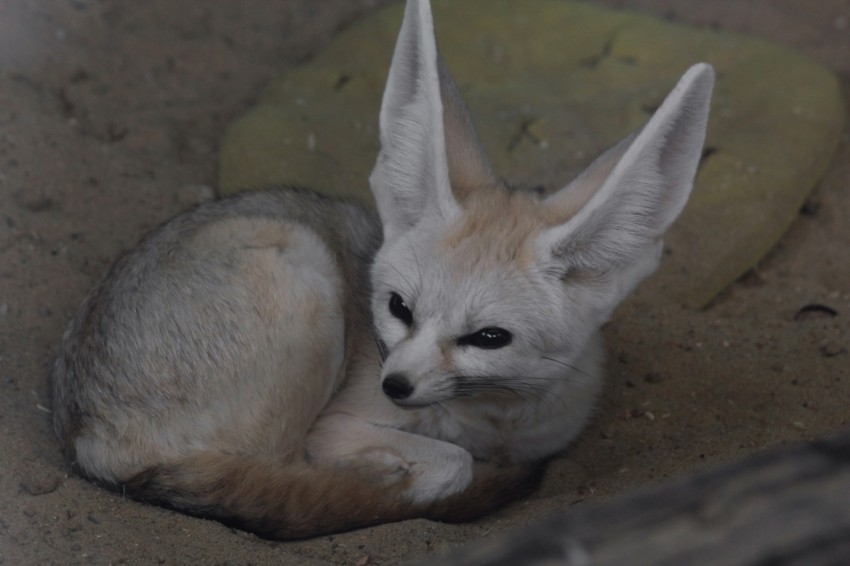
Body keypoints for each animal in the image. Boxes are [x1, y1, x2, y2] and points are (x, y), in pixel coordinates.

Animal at [49, 0, 712, 540]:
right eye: (398, 308)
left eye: (488, 338)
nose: (395, 385)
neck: (494, 421)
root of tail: (86, 432)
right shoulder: (333, 428)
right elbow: (447, 465)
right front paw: (401, 482)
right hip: (302, 272)